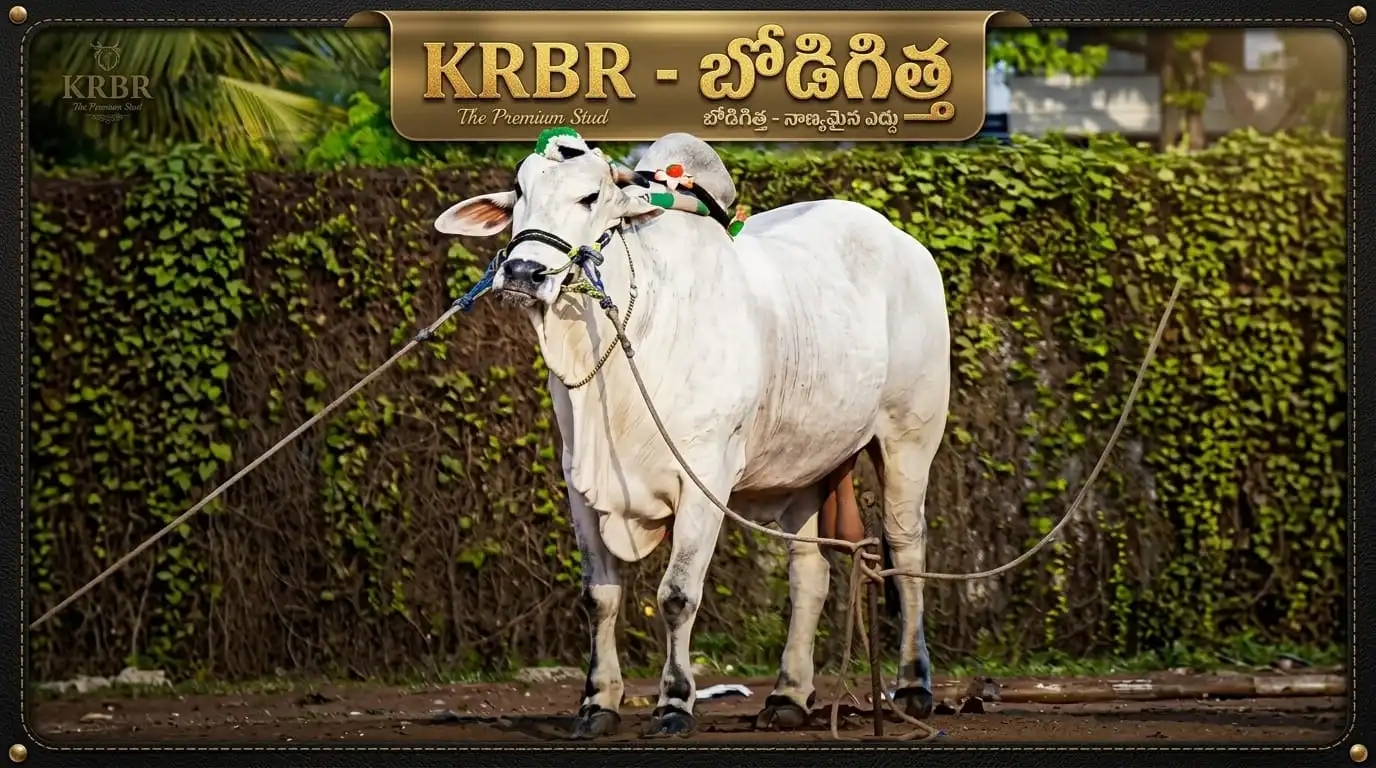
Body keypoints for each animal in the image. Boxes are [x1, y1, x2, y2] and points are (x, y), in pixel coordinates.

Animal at [434, 130, 951, 739]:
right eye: (519, 191)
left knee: (907, 551)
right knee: (809, 573)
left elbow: (677, 595)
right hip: (806, 466)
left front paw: (675, 702)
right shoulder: (578, 484)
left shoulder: (705, 477)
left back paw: (913, 686)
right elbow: (598, 596)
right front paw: (596, 703)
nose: (521, 273)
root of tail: (904, 242)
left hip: (908, 441)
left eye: (590, 197)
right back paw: (788, 695)